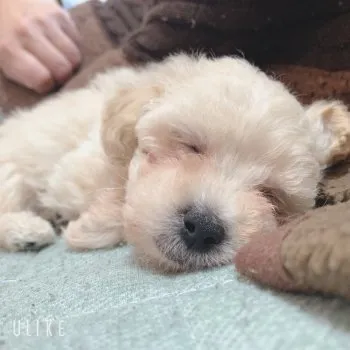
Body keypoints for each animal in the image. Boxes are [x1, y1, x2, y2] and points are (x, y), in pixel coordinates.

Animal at [0, 54, 350, 272]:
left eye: (270, 193)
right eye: (191, 146)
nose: (204, 229)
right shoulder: (79, 163)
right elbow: (115, 187)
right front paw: (88, 228)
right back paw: (28, 230)